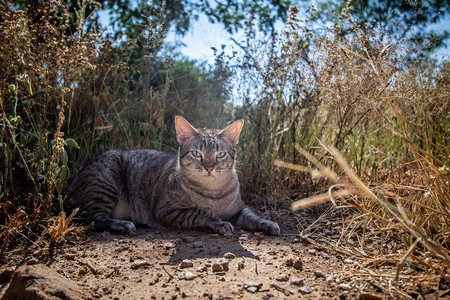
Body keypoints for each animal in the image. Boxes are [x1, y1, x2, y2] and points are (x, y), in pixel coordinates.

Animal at [68, 117, 280, 237]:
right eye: (196, 154)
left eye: (220, 154)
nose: (209, 167)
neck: (214, 193)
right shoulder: (167, 210)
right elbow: (201, 212)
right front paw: (219, 222)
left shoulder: (238, 209)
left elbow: (251, 215)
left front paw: (267, 223)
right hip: (105, 183)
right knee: (94, 218)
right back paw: (122, 224)